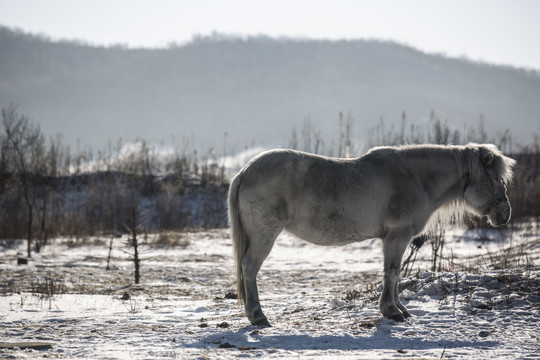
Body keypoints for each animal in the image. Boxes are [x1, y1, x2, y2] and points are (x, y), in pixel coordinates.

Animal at [227, 143, 516, 326]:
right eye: (495, 179)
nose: (504, 214)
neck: (416, 178)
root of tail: (244, 171)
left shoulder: (396, 239)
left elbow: (395, 273)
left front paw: (400, 309)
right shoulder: (397, 237)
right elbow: (393, 271)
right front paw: (392, 311)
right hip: (264, 236)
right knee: (249, 268)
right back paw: (258, 316)